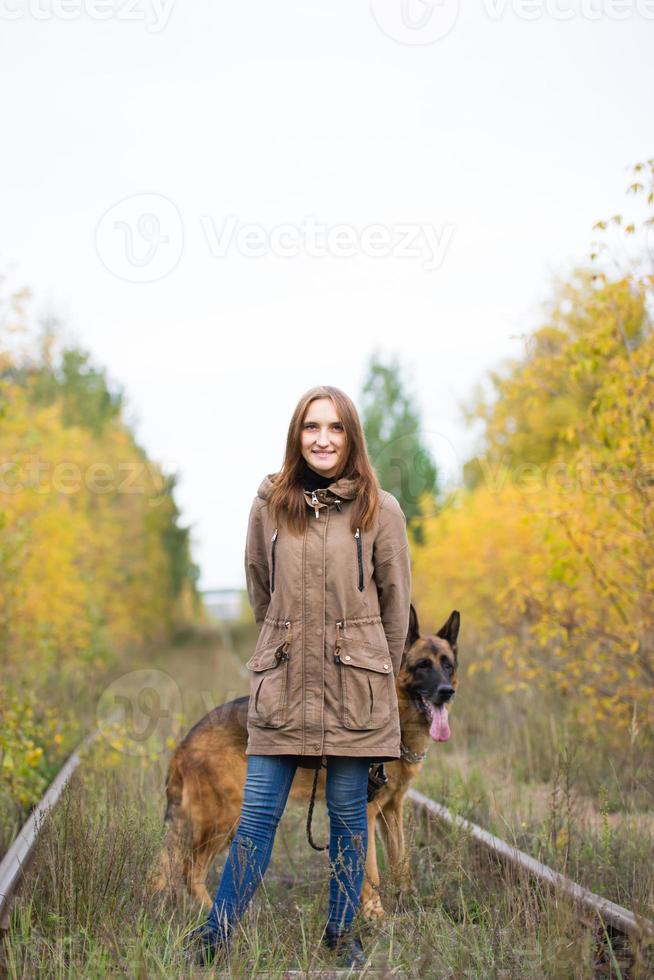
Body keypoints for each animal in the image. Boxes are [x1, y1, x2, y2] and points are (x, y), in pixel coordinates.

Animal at [150, 604, 462, 920]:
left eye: (447, 665)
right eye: (422, 665)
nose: (446, 692)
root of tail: (185, 742)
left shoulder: (392, 810)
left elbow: (402, 864)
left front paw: (410, 905)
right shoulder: (367, 810)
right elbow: (371, 872)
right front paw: (376, 917)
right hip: (224, 818)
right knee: (190, 870)